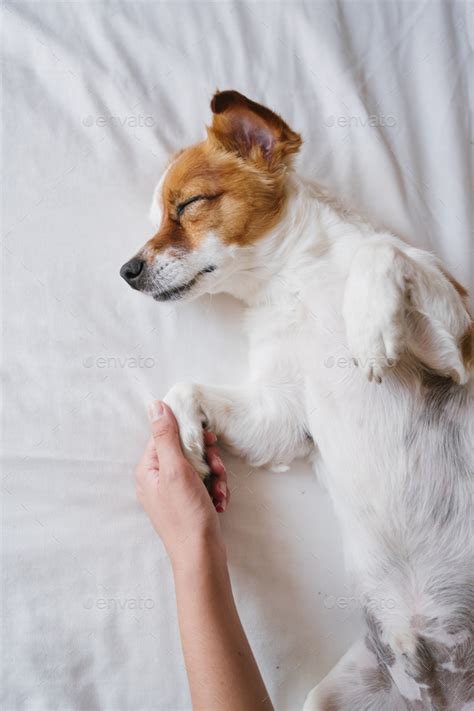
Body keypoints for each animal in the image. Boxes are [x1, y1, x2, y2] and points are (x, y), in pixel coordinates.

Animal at [120, 92, 472, 708]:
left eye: (188, 204)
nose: (127, 271)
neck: (293, 284)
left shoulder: (457, 352)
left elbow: (382, 250)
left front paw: (368, 325)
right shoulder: (282, 416)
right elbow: (186, 389)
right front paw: (190, 454)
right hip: (334, 695)